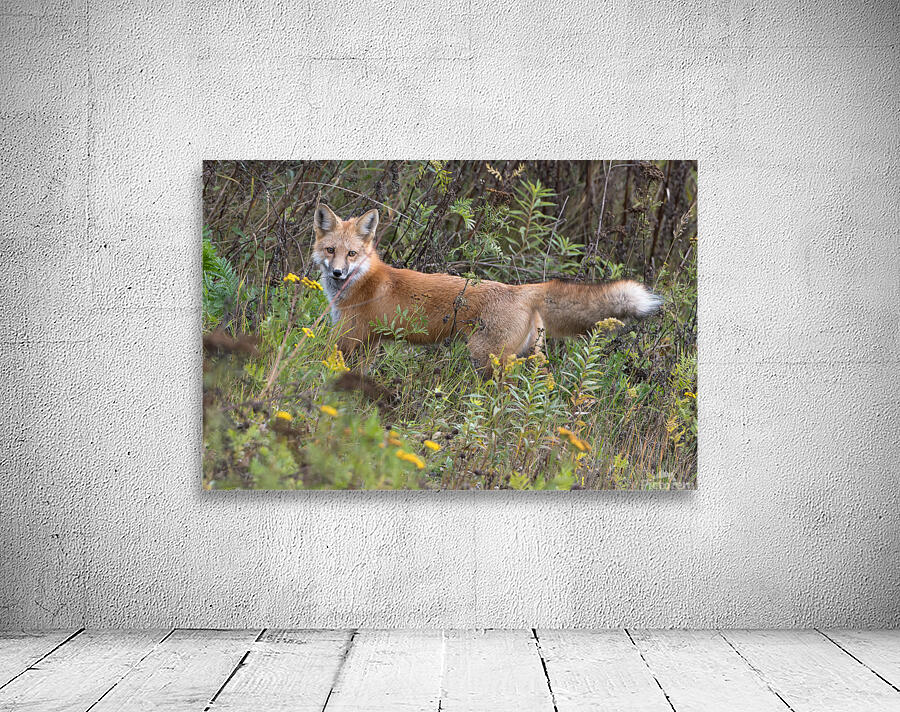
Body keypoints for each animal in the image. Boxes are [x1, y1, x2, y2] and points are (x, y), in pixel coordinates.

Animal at [311, 203, 662, 377]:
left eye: (351, 254)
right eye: (330, 250)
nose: (338, 272)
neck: (360, 281)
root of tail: (521, 289)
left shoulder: (348, 337)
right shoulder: (370, 343)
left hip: (485, 357)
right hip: (526, 355)